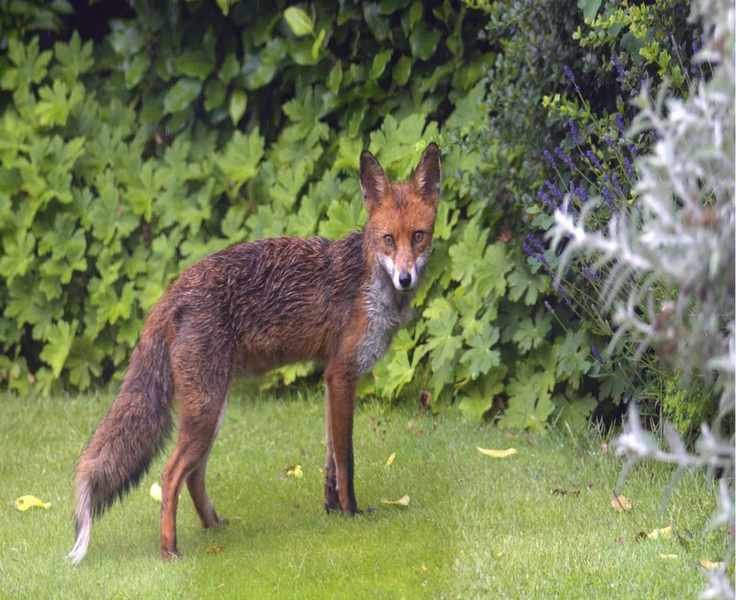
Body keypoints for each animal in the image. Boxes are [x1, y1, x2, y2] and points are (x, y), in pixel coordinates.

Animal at [68, 143, 441, 564]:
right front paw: (351, 513)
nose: (405, 278)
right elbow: (346, 460)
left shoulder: (330, 379)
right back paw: (169, 550)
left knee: (194, 475)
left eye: (419, 236)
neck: (369, 279)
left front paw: (331, 510)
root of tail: (173, 289)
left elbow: (330, 460)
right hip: (205, 410)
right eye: (388, 239)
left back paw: (214, 527)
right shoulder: (343, 374)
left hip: (212, 409)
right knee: (170, 474)